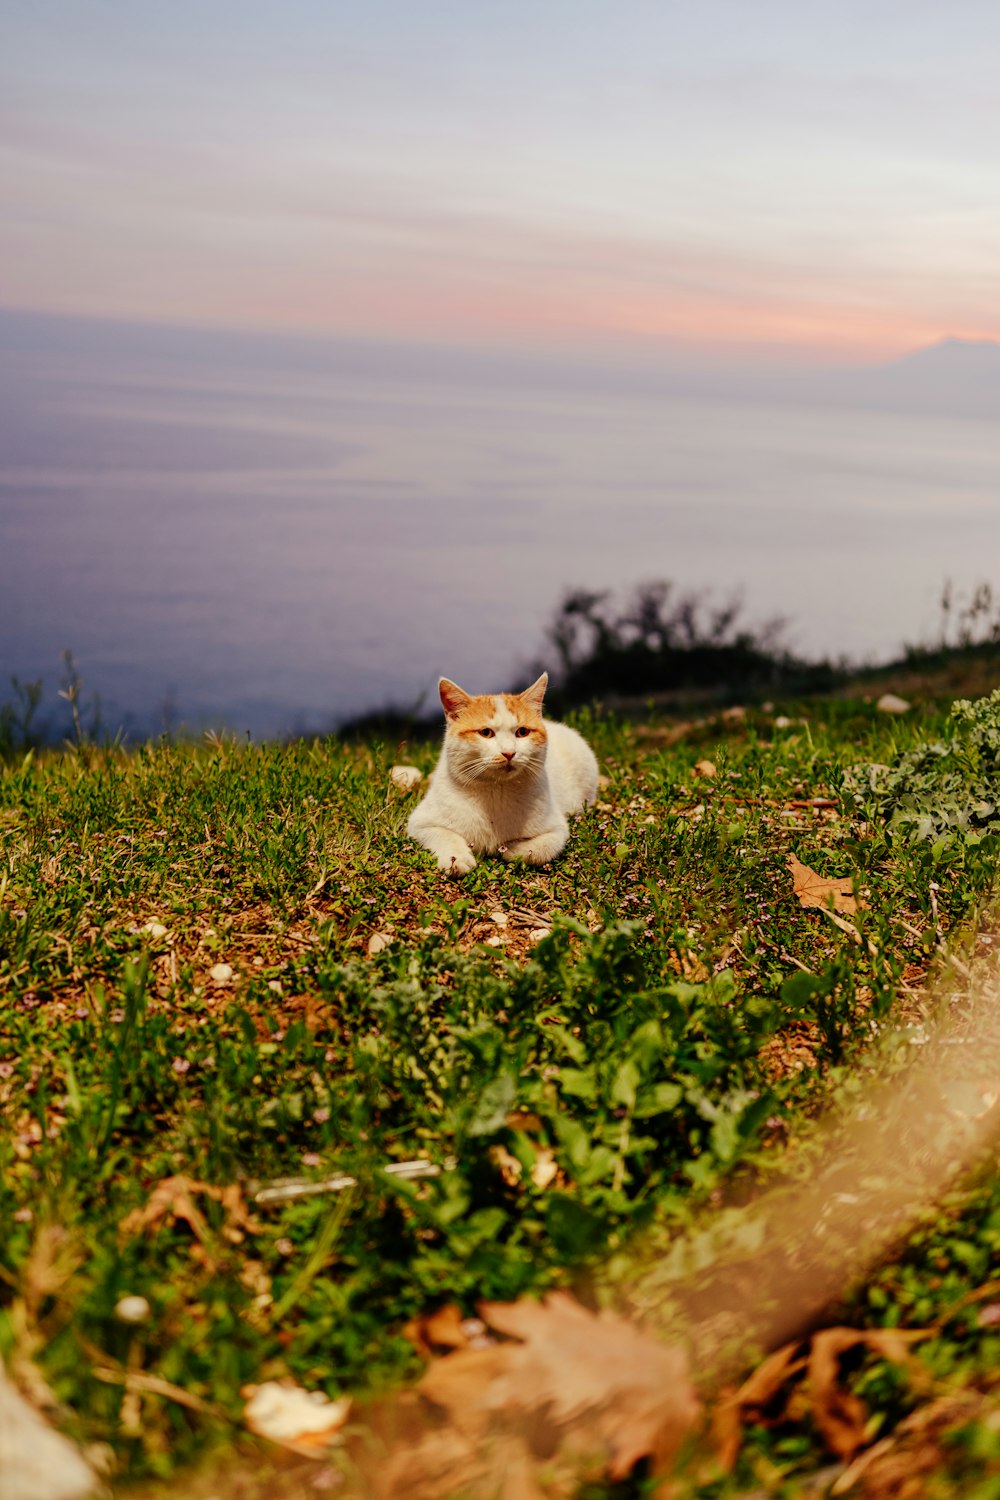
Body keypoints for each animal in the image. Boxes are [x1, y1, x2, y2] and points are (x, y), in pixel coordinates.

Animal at [404, 672, 593, 876]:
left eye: (522, 732)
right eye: (486, 733)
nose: (509, 753)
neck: (496, 790)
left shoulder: (557, 830)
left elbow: (540, 849)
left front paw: (510, 849)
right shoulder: (420, 822)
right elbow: (445, 834)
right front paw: (457, 858)